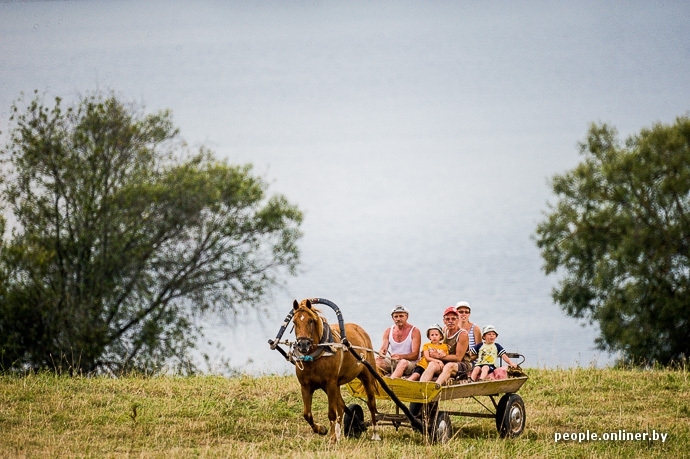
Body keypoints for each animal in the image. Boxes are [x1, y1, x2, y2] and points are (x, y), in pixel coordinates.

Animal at [288, 300, 378, 444]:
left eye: (310, 321)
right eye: (294, 322)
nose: (303, 345)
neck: (316, 356)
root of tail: (360, 330)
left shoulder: (330, 384)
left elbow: (331, 412)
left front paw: (331, 438)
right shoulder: (306, 386)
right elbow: (307, 414)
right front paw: (322, 430)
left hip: (366, 376)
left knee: (371, 404)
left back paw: (375, 433)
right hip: (336, 385)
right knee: (341, 406)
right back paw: (340, 433)